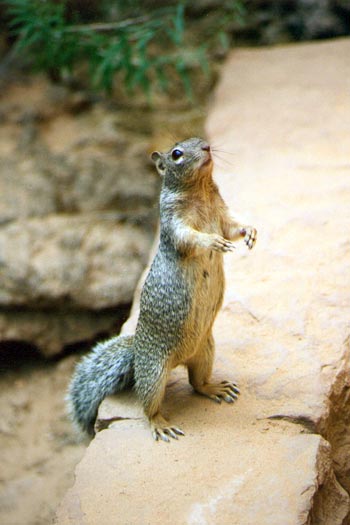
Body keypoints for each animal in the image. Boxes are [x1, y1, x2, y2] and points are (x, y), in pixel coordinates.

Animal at [67, 137, 258, 440]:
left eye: (200, 141)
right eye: (176, 154)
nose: (207, 147)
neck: (201, 190)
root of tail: (137, 356)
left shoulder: (222, 214)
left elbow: (233, 227)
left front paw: (249, 231)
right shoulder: (174, 224)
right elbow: (191, 237)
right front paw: (212, 242)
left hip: (206, 351)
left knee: (197, 383)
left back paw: (215, 387)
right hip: (155, 375)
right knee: (149, 407)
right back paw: (162, 425)